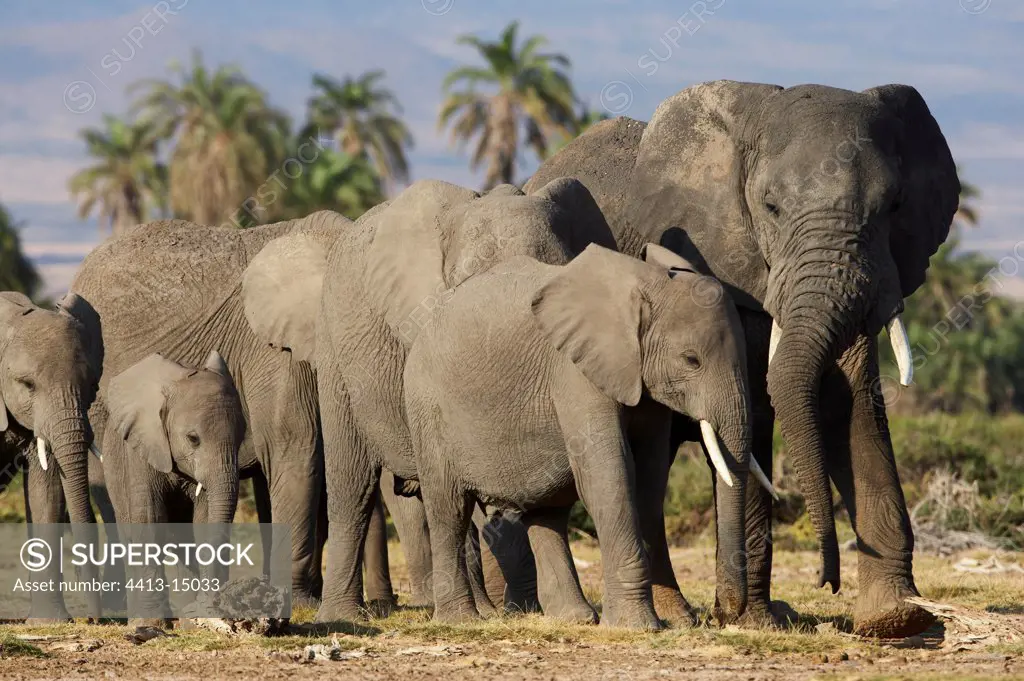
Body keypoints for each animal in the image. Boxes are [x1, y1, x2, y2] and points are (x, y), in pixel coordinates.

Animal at [403, 242, 770, 626]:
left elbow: (650, 477)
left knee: (547, 511)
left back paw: (574, 618)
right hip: (426, 408)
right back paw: (460, 620)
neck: (643, 284)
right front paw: (636, 627)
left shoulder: (641, 380)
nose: (721, 615)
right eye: (691, 360)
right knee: (449, 509)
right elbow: (607, 476)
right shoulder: (575, 371)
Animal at [524, 80, 962, 639]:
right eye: (770, 207)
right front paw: (757, 622)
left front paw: (895, 618)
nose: (826, 581)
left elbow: (852, 406)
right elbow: (754, 413)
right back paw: (680, 616)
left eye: (894, 205)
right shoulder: (723, 266)